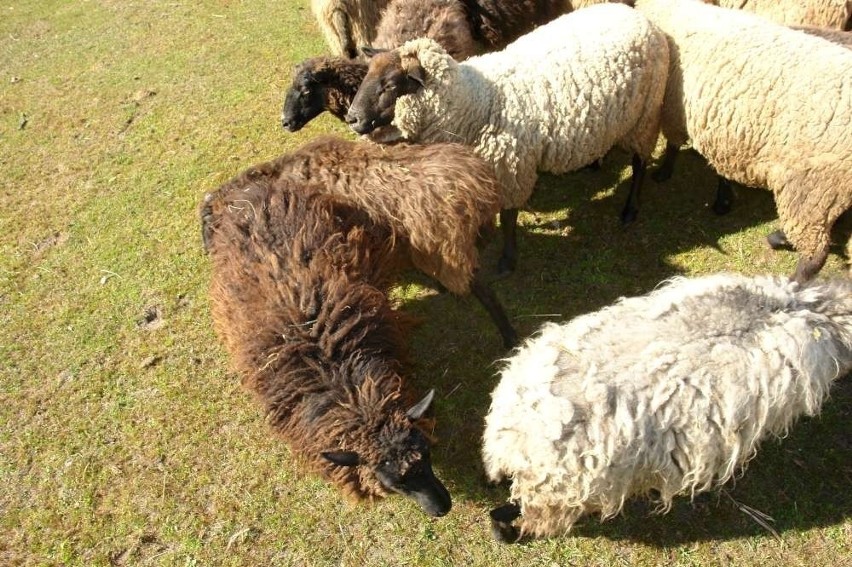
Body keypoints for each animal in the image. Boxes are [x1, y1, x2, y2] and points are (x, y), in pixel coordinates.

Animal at [342, 2, 668, 272]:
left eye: (389, 85)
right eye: (367, 75)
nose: (351, 118)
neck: (475, 101)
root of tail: (635, 15)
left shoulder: (512, 167)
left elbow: (509, 216)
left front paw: (507, 259)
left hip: (647, 113)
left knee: (640, 162)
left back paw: (630, 210)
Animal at [640, 0, 852, 282]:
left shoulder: (675, 107)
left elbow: (674, 143)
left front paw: (664, 171)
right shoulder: (724, 126)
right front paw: (723, 198)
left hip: (811, 188)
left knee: (814, 254)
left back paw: (791, 274)